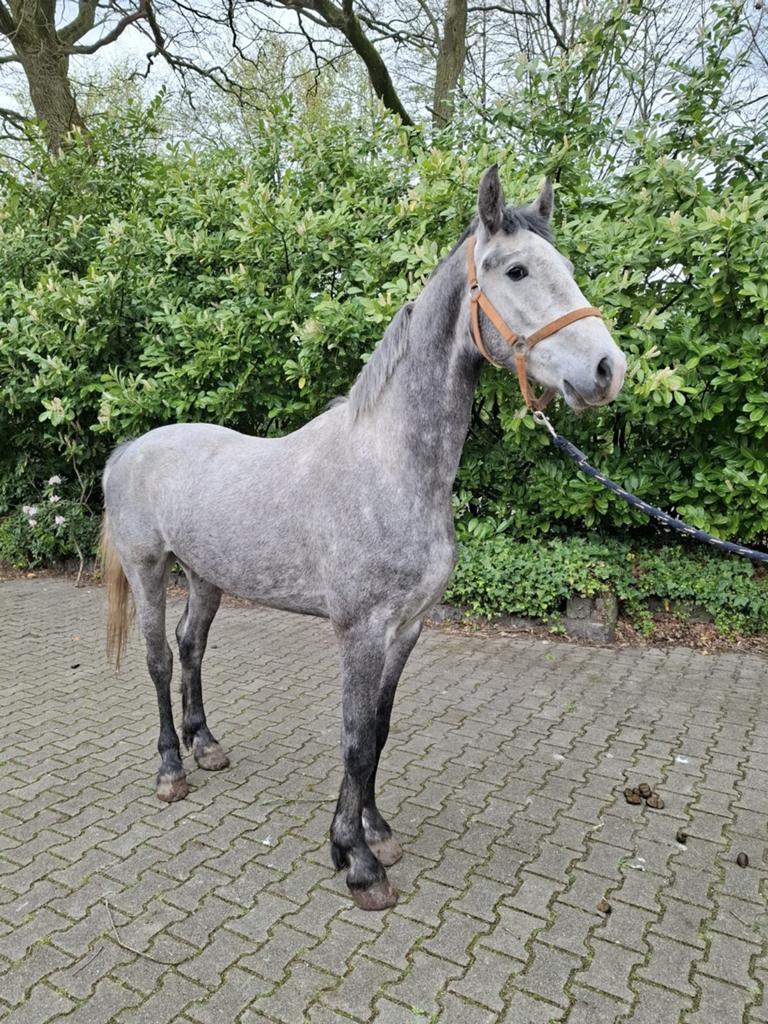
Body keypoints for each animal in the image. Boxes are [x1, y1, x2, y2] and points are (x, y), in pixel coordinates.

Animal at [99, 167, 626, 911]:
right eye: (517, 270)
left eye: (569, 269)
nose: (608, 370)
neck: (390, 466)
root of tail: (130, 450)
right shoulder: (361, 630)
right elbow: (352, 739)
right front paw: (356, 861)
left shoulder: (407, 627)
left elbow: (377, 730)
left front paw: (376, 831)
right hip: (149, 569)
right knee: (158, 659)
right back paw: (172, 769)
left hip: (207, 576)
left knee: (191, 646)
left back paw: (207, 746)